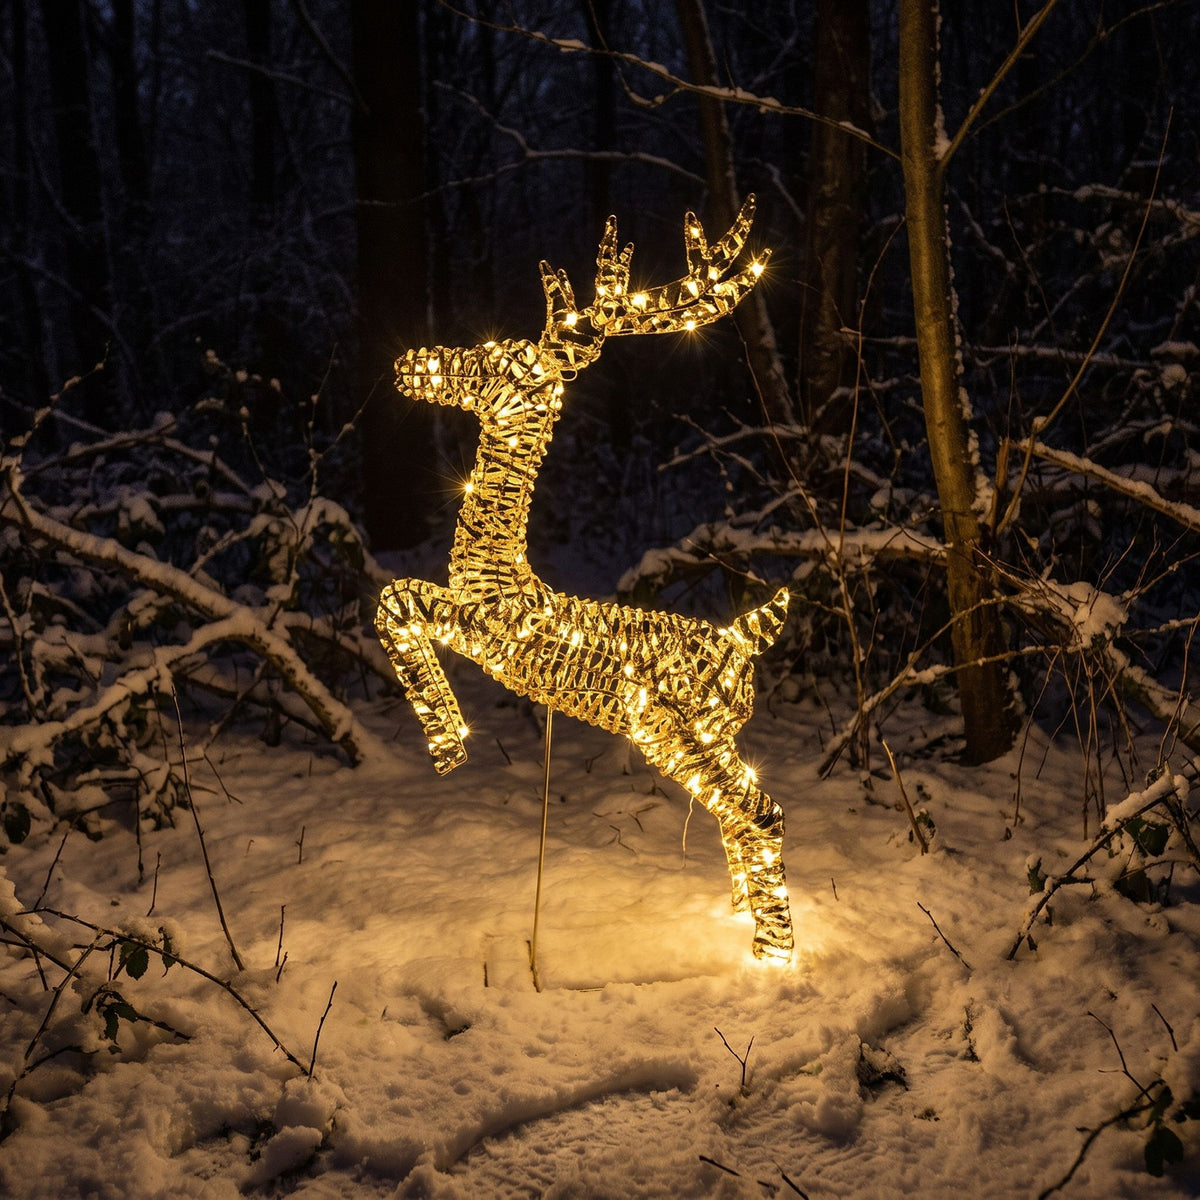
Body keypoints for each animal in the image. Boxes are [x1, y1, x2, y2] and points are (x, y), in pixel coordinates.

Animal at [375, 197, 793, 961]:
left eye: (493, 356)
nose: (409, 362)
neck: (496, 573)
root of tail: (743, 638)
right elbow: (395, 597)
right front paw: (448, 742)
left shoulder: (486, 632)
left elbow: (395, 596)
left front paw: (447, 746)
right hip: (711, 734)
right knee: (735, 813)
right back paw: (739, 918)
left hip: (669, 728)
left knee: (762, 813)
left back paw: (773, 955)